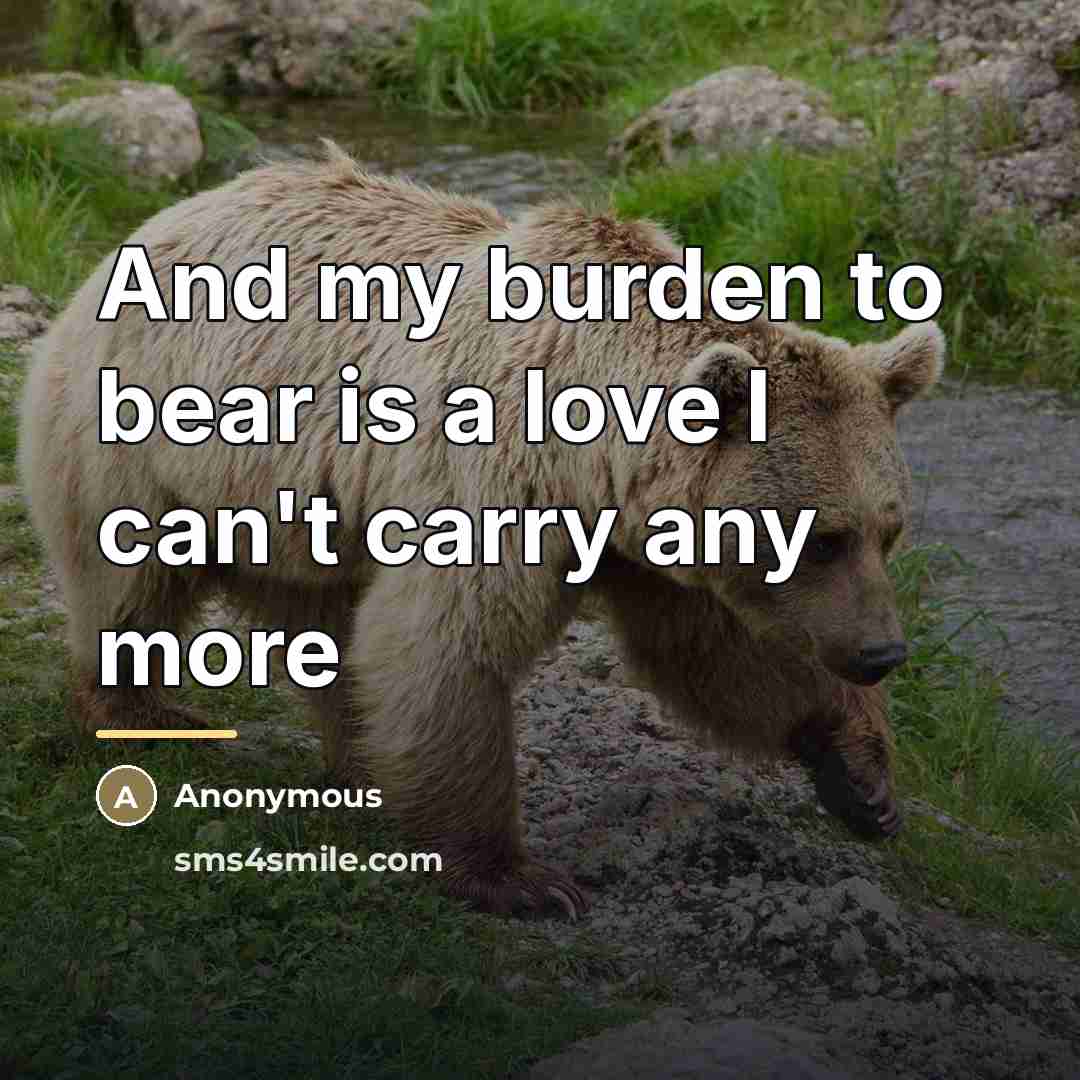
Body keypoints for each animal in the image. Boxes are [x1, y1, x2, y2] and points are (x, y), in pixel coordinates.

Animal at [18, 141, 944, 919]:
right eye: (822, 537)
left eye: (888, 530)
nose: (883, 652)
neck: (593, 453)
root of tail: (141, 232)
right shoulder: (497, 477)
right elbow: (450, 643)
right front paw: (519, 878)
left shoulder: (645, 540)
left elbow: (716, 650)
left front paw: (862, 776)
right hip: (146, 443)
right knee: (131, 587)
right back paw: (142, 711)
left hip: (303, 511)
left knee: (330, 634)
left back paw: (357, 760)